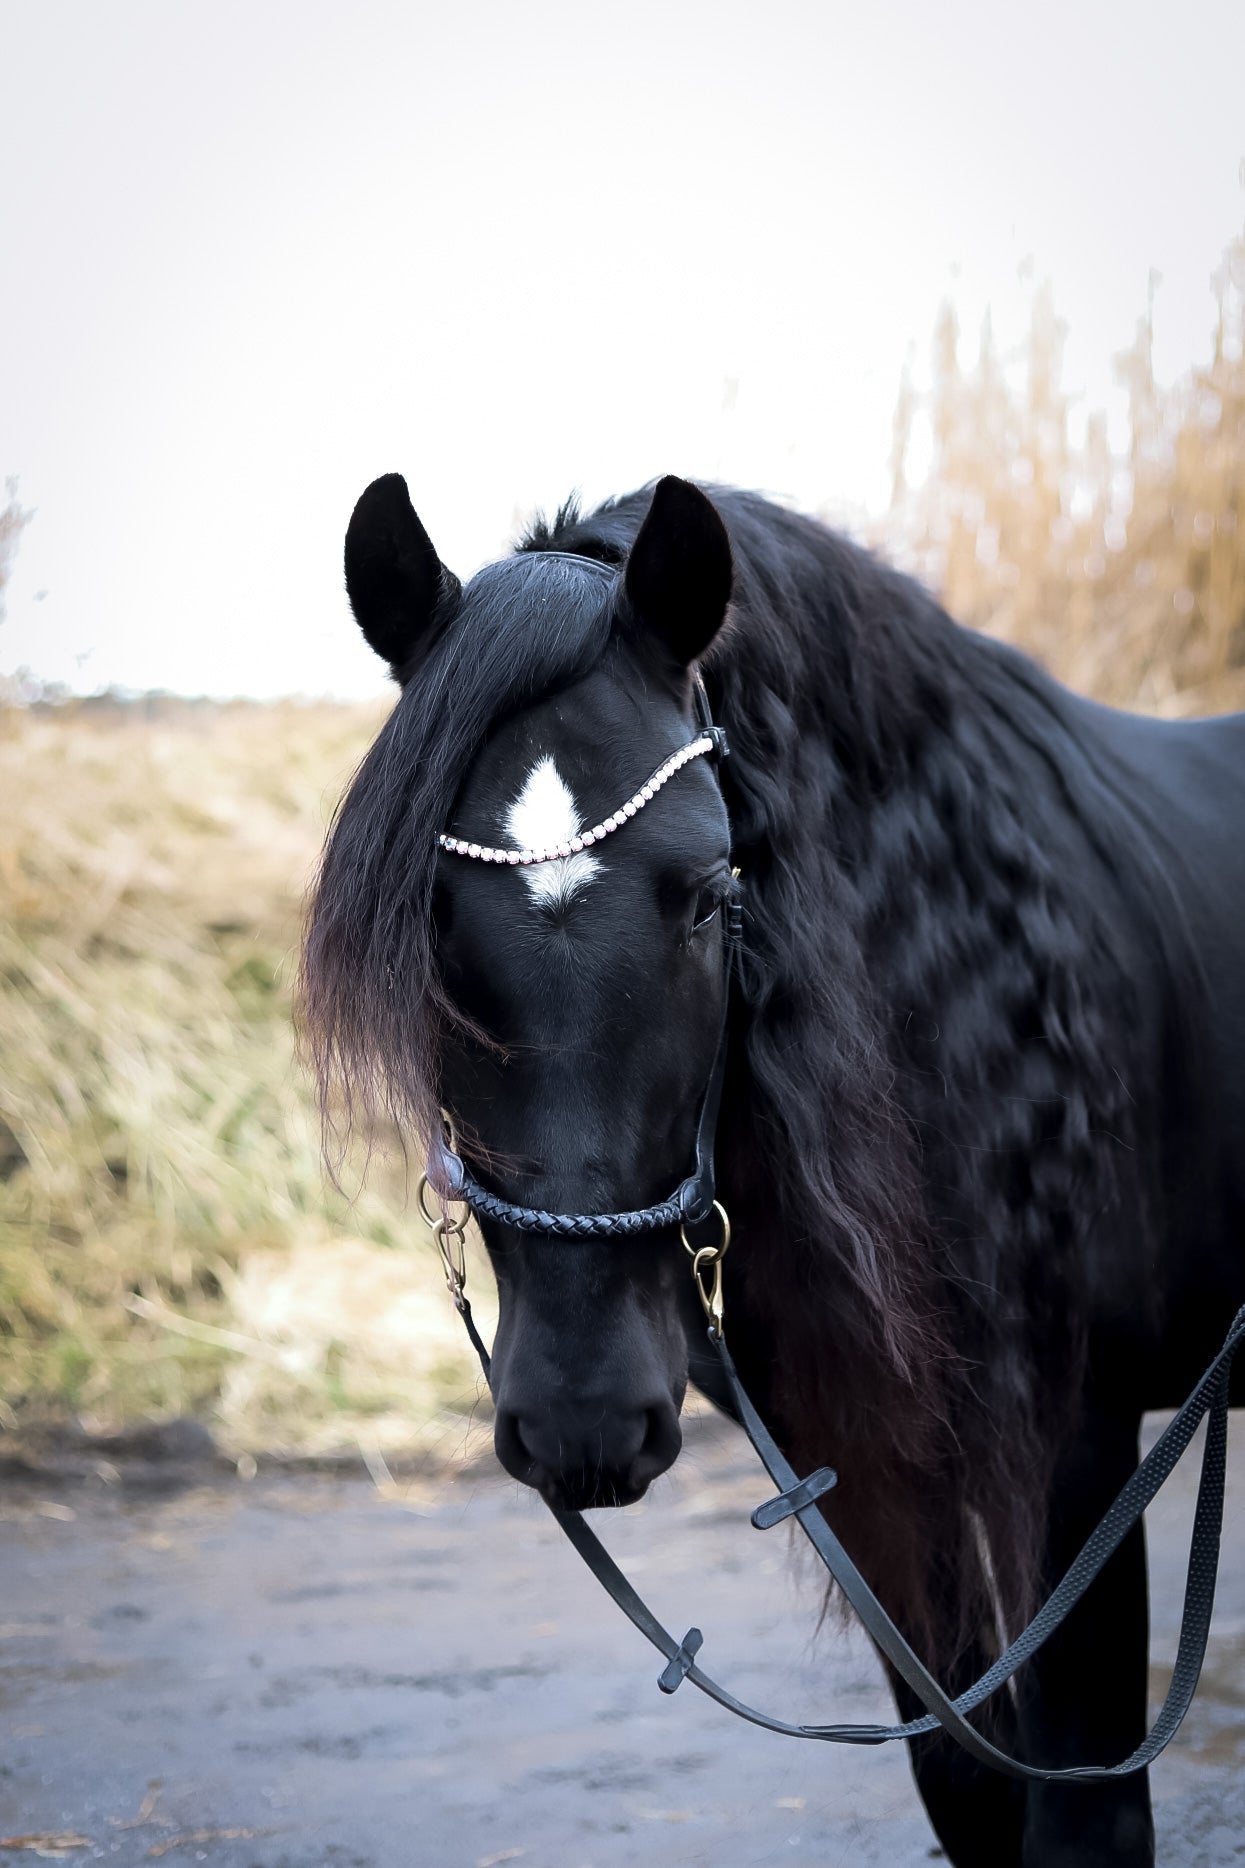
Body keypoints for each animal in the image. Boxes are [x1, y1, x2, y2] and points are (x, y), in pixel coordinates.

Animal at [300, 471, 1245, 1868]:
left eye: (708, 896)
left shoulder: (1085, 1452)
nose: (581, 1414)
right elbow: (968, 1785)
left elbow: (1083, 1812)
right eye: (424, 921)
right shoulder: (864, 1466)